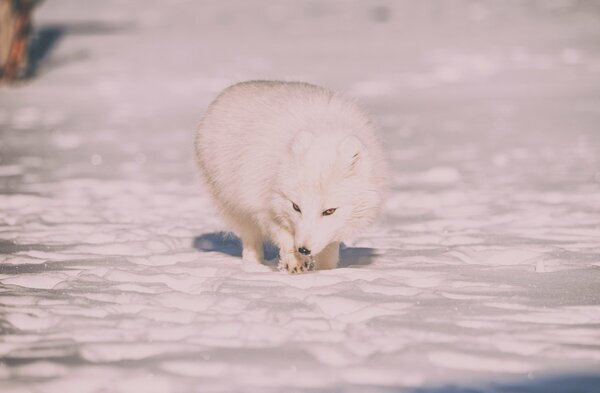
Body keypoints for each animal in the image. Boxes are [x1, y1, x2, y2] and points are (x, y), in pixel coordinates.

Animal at [195, 80, 386, 272]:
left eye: (329, 211)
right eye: (296, 207)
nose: (304, 249)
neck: (325, 129)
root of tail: (229, 91)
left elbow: (329, 252)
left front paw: (325, 272)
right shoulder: (265, 206)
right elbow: (285, 237)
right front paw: (295, 261)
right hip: (235, 207)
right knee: (251, 241)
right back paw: (252, 268)